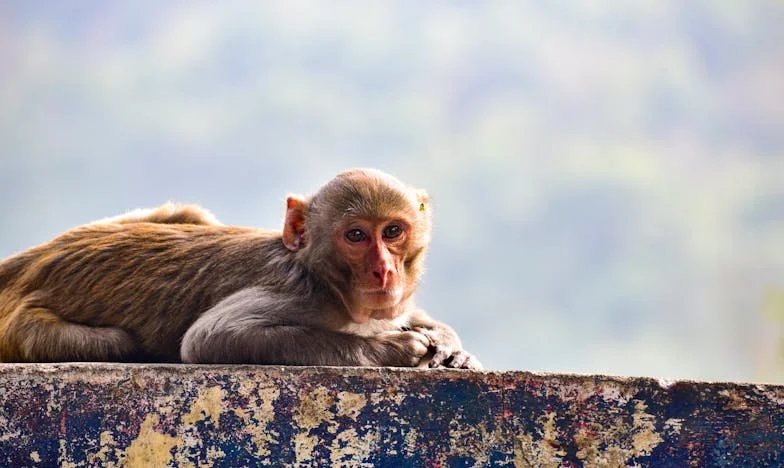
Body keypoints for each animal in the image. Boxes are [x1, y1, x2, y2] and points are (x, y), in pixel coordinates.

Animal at [0, 168, 480, 370]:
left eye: (393, 231)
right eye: (357, 236)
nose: (383, 272)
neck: (325, 282)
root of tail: (23, 264)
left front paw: (448, 342)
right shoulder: (297, 296)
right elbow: (210, 338)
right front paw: (393, 349)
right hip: (22, 331)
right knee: (117, 343)